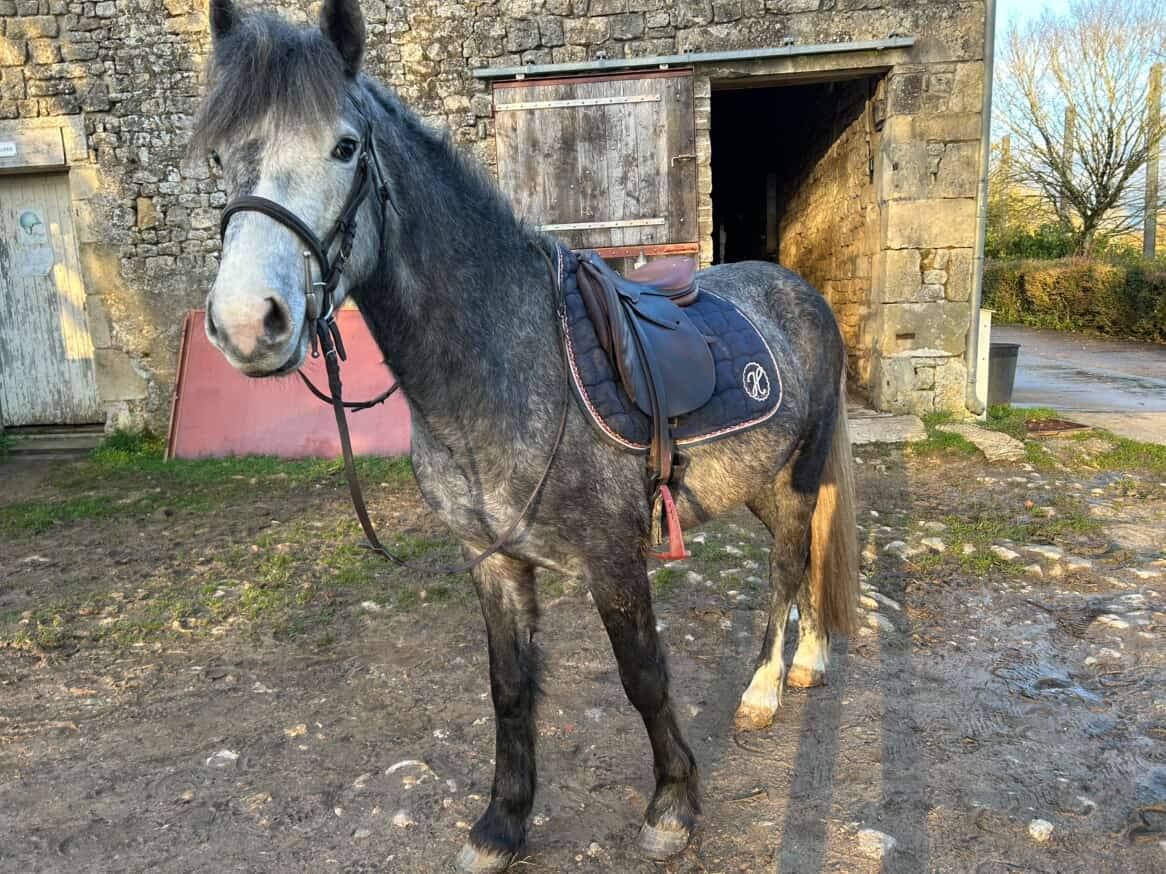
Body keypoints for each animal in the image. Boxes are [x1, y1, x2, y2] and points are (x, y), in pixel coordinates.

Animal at [193, 1, 858, 869]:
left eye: (344, 147)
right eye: (218, 155)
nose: (248, 323)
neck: (506, 362)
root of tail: (799, 292)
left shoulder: (615, 558)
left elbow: (644, 675)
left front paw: (673, 808)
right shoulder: (492, 558)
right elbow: (508, 688)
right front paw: (502, 823)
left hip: (799, 469)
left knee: (787, 561)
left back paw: (763, 692)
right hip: (761, 480)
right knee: (803, 552)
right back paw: (808, 662)